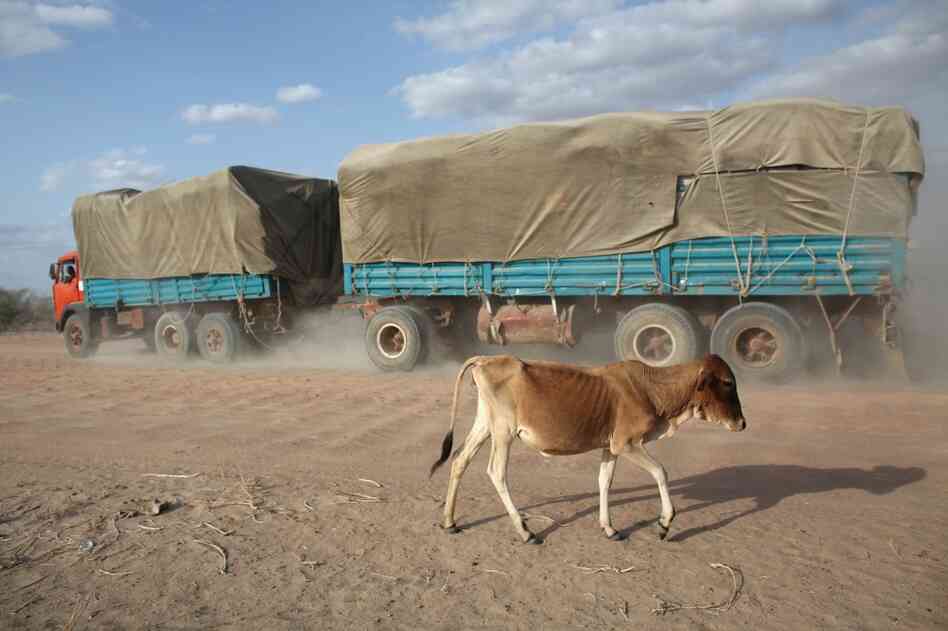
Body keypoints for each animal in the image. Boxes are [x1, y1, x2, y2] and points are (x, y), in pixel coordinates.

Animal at [429, 354, 746, 544]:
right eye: (728, 382)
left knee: (459, 460)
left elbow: (604, 481)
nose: (742, 423)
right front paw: (665, 522)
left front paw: (609, 527)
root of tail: (485, 359)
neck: (653, 390)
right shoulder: (627, 443)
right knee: (496, 472)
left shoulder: (611, 447)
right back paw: (525, 531)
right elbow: (661, 472)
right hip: (504, 432)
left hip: (486, 424)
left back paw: (449, 521)